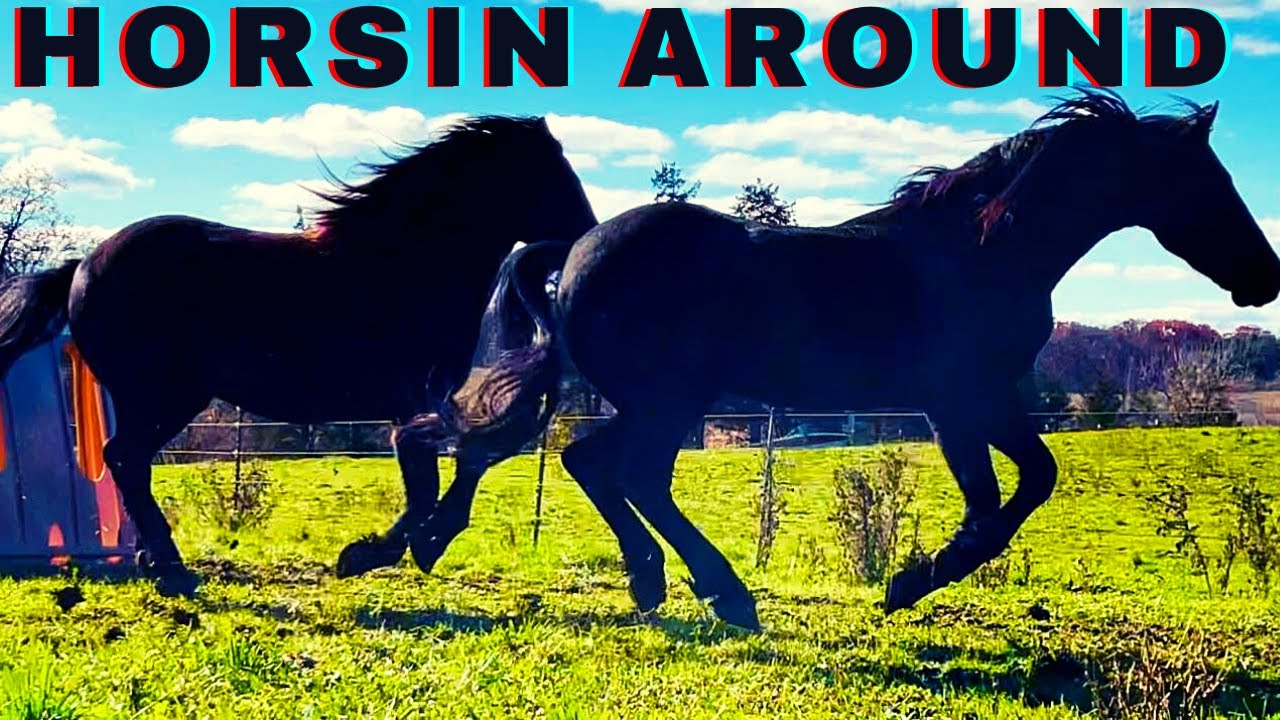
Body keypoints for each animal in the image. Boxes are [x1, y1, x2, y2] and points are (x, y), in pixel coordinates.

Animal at [0, 115, 598, 596]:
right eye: (552, 173)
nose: (587, 236)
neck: (409, 266)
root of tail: (81, 266)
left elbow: (461, 466)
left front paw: (414, 546)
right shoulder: (417, 401)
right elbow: (434, 477)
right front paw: (373, 554)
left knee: (130, 462)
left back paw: (157, 561)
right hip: (162, 395)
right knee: (125, 457)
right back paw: (172, 570)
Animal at [399, 90, 1280, 630]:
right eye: (1210, 182)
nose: (1263, 277)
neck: (982, 251)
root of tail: (578, 248)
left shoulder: (987, 398)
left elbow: (1032, 481)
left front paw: (916, 578)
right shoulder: (955, 401)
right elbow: (996, 497)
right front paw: (912, 581)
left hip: (658, 402)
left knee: (593, 465)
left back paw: (657, 582)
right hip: (671, 401)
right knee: (628, 473)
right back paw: (723, 594)